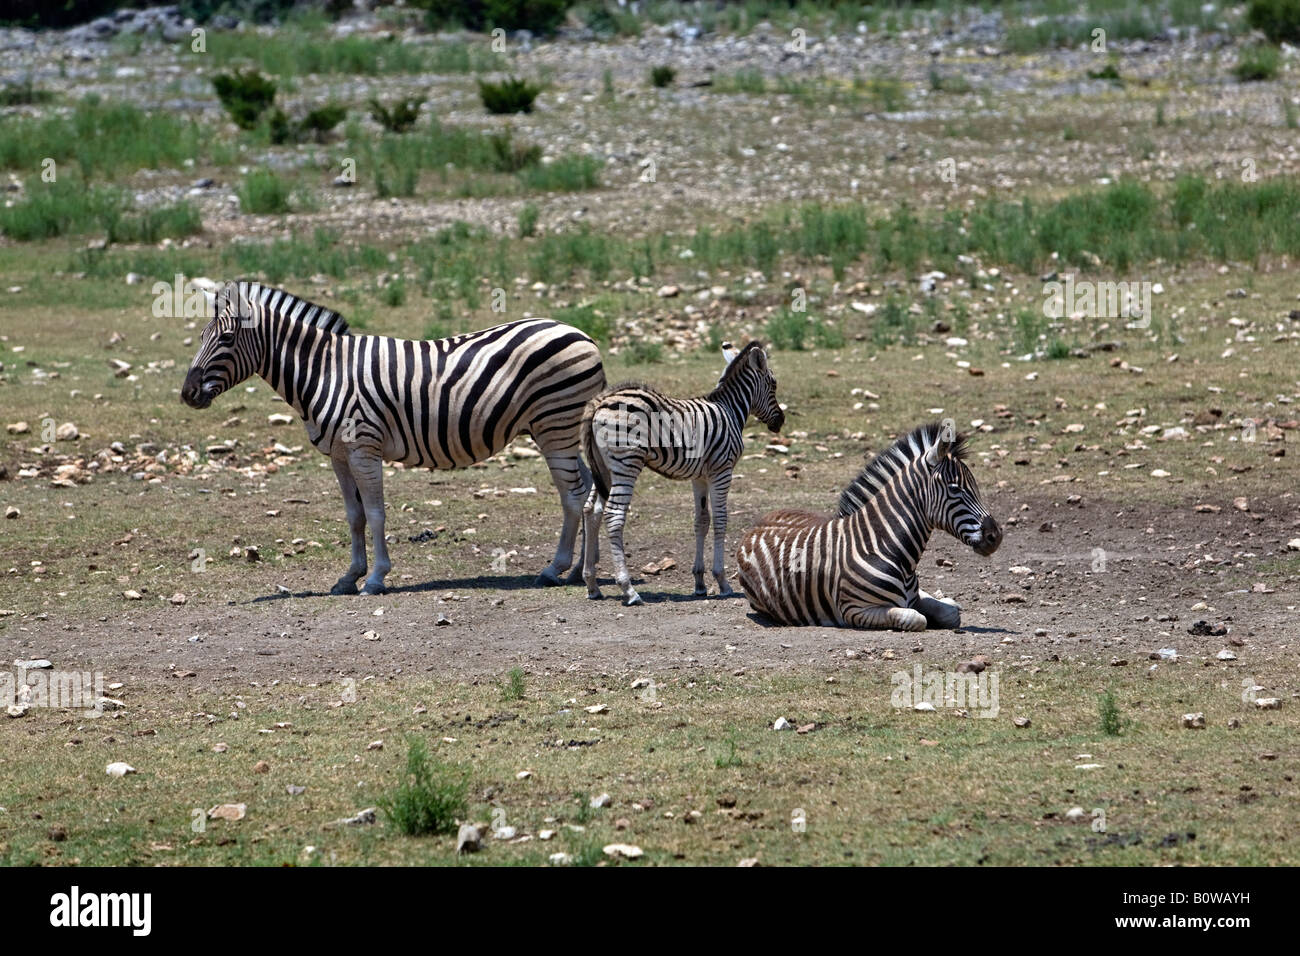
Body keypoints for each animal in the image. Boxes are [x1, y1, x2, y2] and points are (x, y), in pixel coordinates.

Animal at [180, 280, 606, 594]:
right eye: (201, 335)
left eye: (227, 338)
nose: (187, 393)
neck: (324, 371)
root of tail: (582, 335)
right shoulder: (339, 454)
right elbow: (353, 516)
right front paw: (349, 577)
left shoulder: (363, 448)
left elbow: (375, 513)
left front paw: (375, 578)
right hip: (560, 430)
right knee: (587, 490)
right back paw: (577, 571)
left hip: (554, 426)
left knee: (572, 495)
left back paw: (554, 570)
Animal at [580, 340, 784, 606]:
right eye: (774, 384)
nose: (780, 421)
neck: (729, 410)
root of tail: (599, 402)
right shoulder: (722, 470)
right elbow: (720, 520)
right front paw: (722, 581)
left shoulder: (700, 476)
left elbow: (702, 521)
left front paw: (699, 582)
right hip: (626, 463)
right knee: (614, 515)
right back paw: (628, 589)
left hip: (603, 467)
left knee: (591, 510)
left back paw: (592, 584)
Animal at [735, 422, 1002, 630]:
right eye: (955, 488)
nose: (995, 536)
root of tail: (756, 523)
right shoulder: (854, 610)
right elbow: (916, 619)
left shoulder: (912, 597)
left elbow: (950, 614)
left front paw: (947, 605)